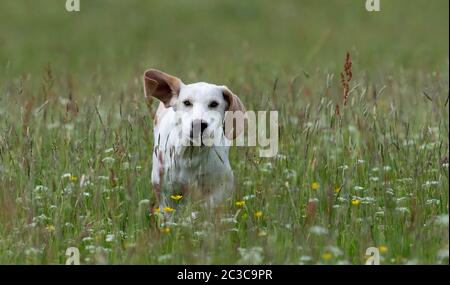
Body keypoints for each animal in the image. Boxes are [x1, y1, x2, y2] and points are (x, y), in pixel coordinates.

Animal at [143, 69, 246, 206]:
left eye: (214, 104)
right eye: (187, 102)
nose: (199, 124)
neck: (191, 155)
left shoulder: (218, 190)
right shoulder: (165, 192)